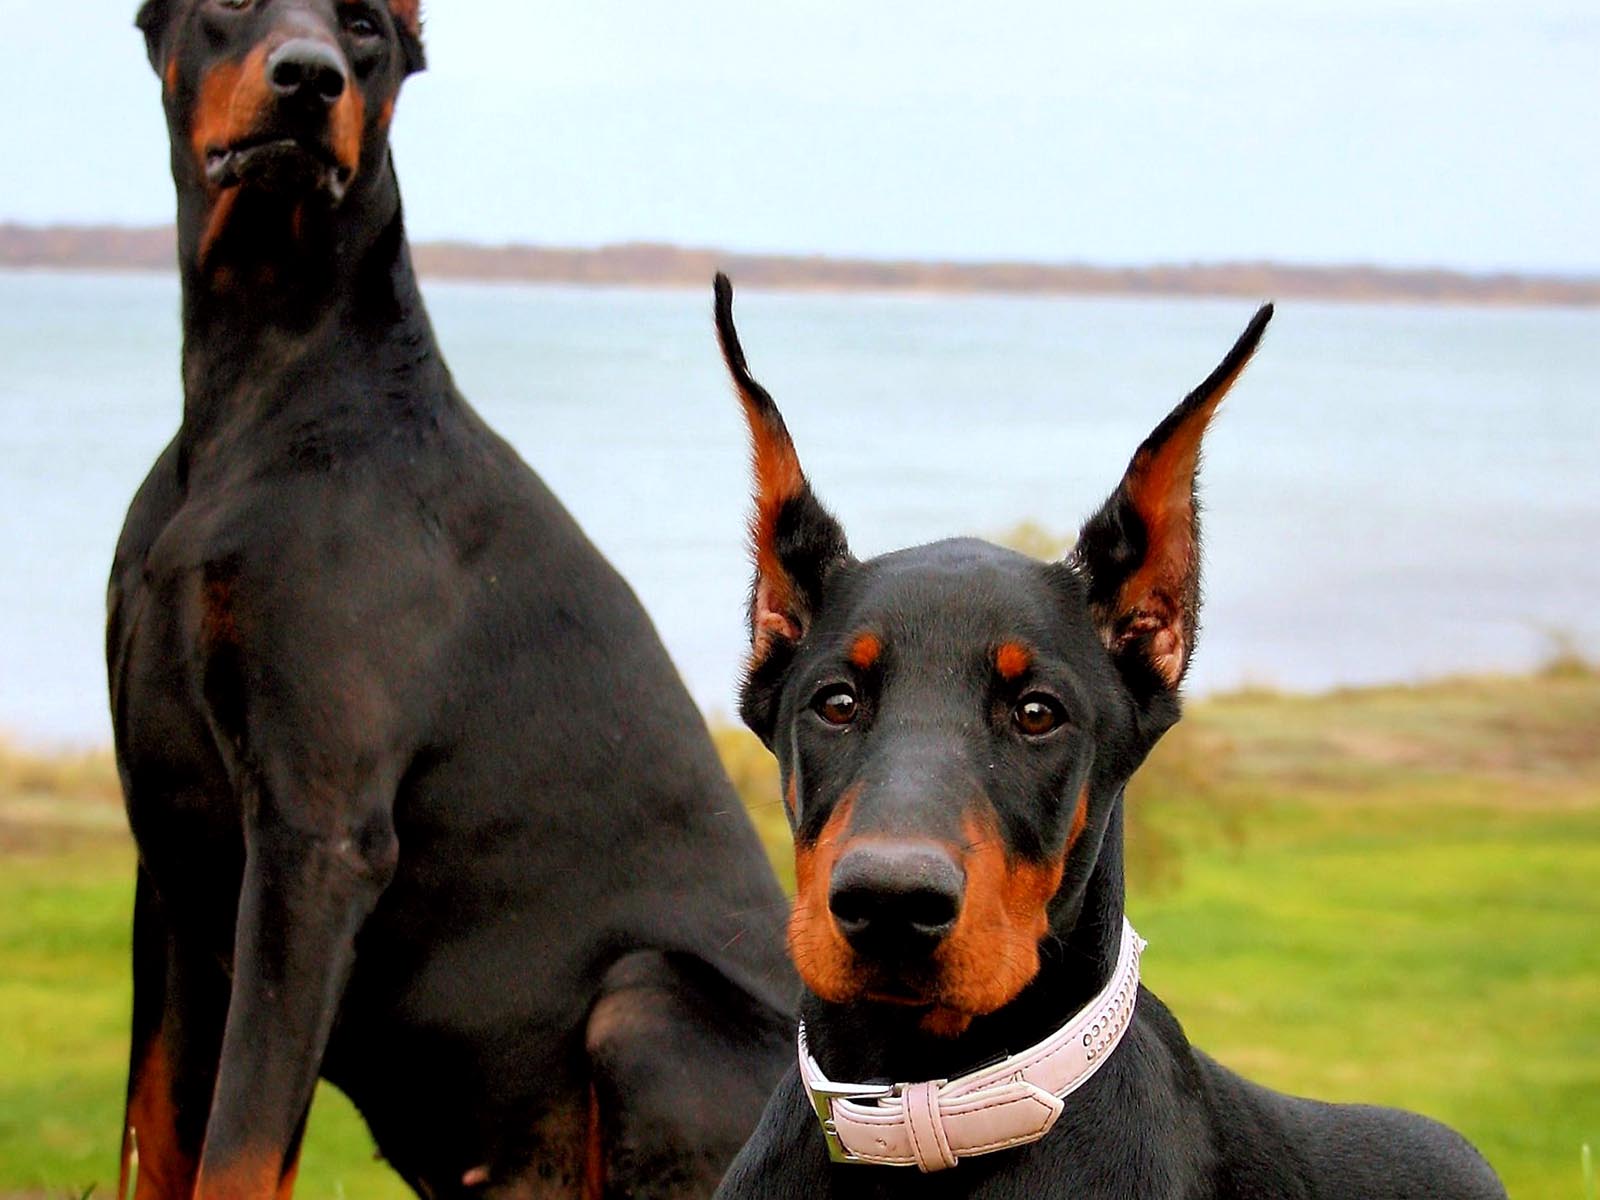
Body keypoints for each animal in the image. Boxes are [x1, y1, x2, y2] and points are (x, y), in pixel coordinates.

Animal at [106, 9, 793, 1200]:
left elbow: (240, 1146)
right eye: (230, 7)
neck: (260, 392)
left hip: (649, 1000)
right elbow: (160, 1129)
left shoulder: (315, 838)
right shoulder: (172, 853)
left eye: (366, 27)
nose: (308, 81)